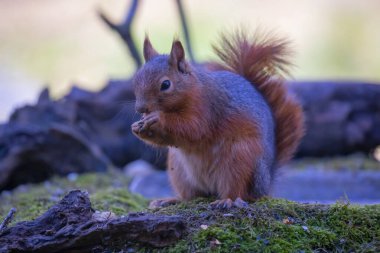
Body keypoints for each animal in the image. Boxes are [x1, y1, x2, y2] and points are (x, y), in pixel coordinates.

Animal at [132, 29, 304, 208]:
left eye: (165, 84)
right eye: (136, 79)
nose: (140, 108)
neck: (192, 89)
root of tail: (266, 185)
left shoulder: (207, 109)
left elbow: (192, 129)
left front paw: (157, 118)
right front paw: (137, 127)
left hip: (239, 160)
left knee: (237, 190)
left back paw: (226, 200)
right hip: (178, 171)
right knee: (191, 196)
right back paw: (170, 200)